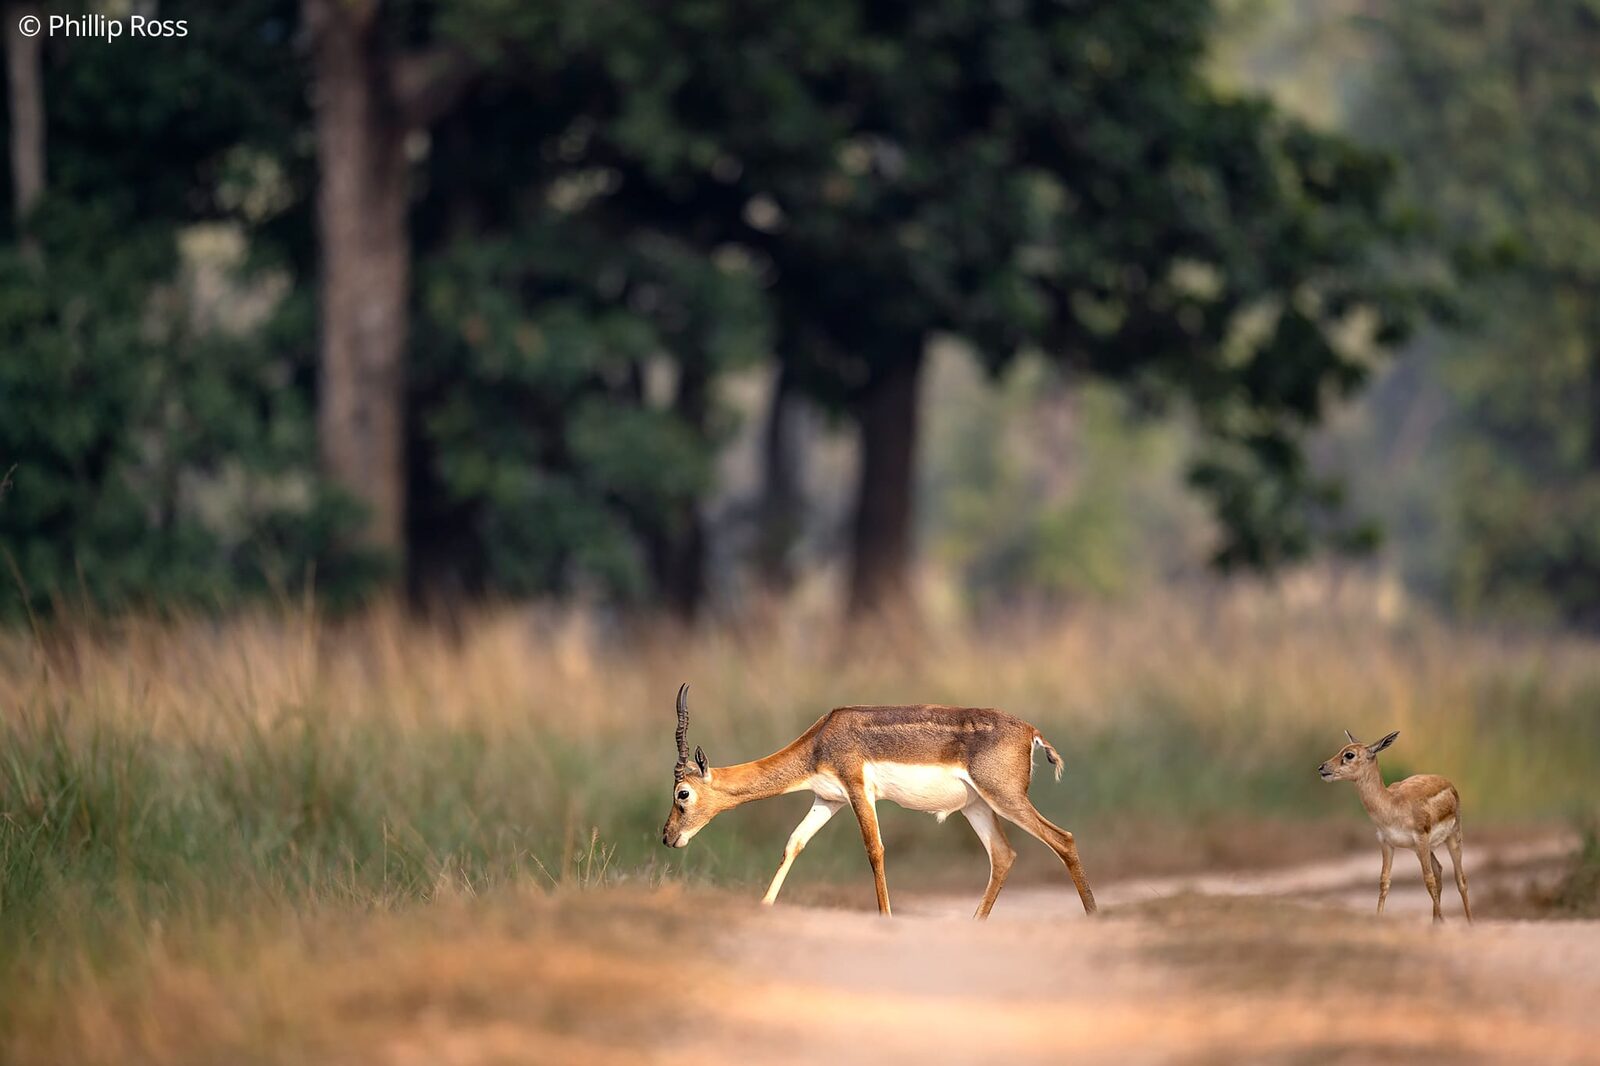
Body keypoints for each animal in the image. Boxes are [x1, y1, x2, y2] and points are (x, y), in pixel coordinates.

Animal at [660, 684, 1097, 918]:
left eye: (683, 794)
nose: (667, 837)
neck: (820, 739)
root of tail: (1031, 731)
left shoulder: (858, 789)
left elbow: (875, 850)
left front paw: (886, 916)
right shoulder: (827, 798)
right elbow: (794, 844)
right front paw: (764, 906)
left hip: (1005, 798)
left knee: (1064, 839)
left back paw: (1093, 916)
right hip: (977, 806)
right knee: (1003, 855)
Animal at [1318, 729, 1471, 923]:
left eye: (1349, 754)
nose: (1322, 768)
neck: (1391, 804)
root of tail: (1449, 784)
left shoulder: (1421, 838)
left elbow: (1428, 880)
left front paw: (1444, 921)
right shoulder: (1386, 843)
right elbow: (1384, 881)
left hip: (1452, 837)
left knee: (1460, 879)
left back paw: (1468, 923)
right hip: (1422, 849)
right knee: (1439, 870)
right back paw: (1435, 923)